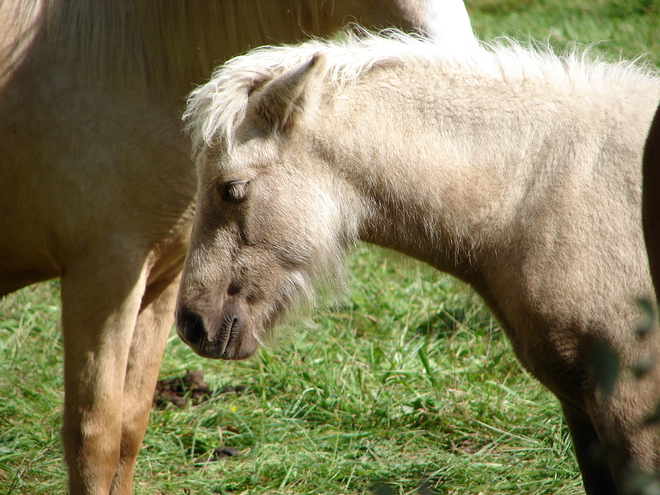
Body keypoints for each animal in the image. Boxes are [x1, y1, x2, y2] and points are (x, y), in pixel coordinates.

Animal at [0, 1, 474, 494]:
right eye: (233, 190)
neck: (138, 61)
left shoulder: (161, 280)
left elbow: (130, 428)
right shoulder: (103, 274)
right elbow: (95, 437)